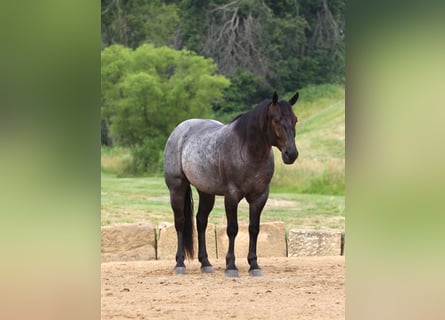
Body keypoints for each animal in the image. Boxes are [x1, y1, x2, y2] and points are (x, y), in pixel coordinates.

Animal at [163, 91, 298, 276]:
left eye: (295, 120)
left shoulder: (260, 197)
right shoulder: (232, 196)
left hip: (206, 192)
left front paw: (254, 265)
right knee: (180, 222)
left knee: (201, 221)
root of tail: (179, 130)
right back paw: (179, 264)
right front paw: (231, 266)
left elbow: (254, 228)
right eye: (277, 120)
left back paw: (206, 263)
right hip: (177, 188)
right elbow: (232, 229)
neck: (247, 151)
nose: (291, 154)